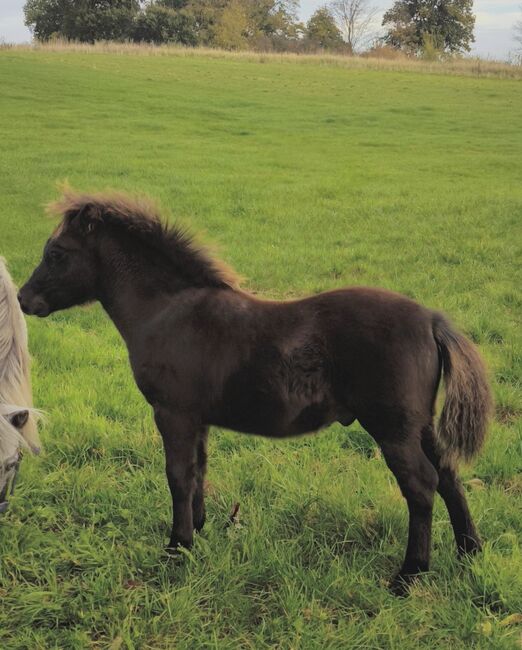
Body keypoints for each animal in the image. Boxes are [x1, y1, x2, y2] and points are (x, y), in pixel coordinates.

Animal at [18, 189, 490, 592]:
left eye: (56, 253)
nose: (23, 299)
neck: (167, 312)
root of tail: (431, 320)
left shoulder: (172, 413)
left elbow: (177, 474)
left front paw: (177, 547)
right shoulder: (197, 418)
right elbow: (198, 471)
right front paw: (199, 529)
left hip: (392, 428)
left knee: (421, 486)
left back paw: (409, 576)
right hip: (419, 425)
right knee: (449, 476)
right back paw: (470, 554)